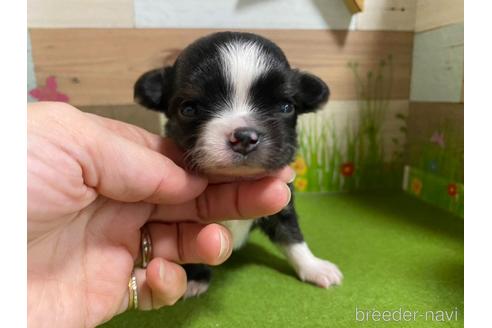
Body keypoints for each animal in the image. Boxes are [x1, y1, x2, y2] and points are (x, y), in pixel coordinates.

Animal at [135, 31, 342, 298]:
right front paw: (195, 277)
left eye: (286, 107)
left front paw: (314, 267)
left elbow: (293, 236)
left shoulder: (282, 203)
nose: (244, 136)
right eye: (188, 109)